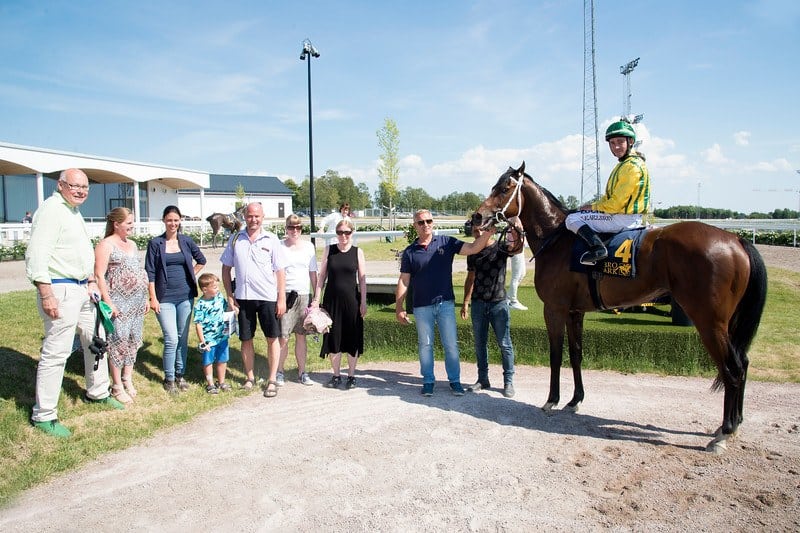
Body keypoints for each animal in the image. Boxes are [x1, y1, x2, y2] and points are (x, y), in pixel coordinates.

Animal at [476, 162, 768, 454]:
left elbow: (556, 355)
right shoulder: (575, 311)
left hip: (709, 321)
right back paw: (732, 424)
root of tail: (735, 239)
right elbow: (576, 354)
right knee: (743, 363)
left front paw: (552, 400)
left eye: (504, 188)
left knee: (732, 368)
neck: (557, 240)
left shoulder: (555, 309)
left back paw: (723, 433)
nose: (477, 217)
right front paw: (575, 400)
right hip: (726, 323)